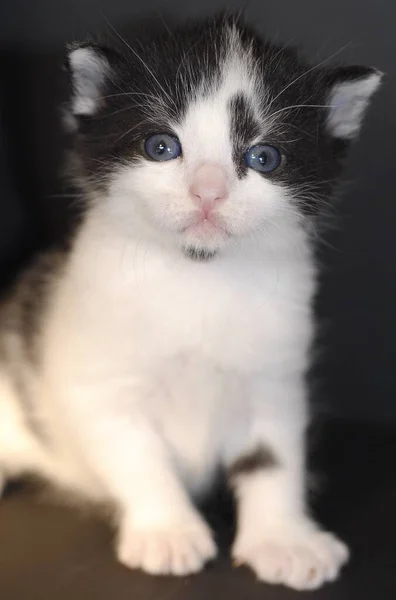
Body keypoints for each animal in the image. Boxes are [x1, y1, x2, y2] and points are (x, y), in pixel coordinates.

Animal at [0, 14, 382, 592]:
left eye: (263, 157)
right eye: (162, 146)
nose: (208, 192)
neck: (199, 274)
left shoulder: (274, 376)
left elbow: (274, 458)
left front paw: (284, 540)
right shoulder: (96, 378)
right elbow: (137, 454)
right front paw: (168, 532)